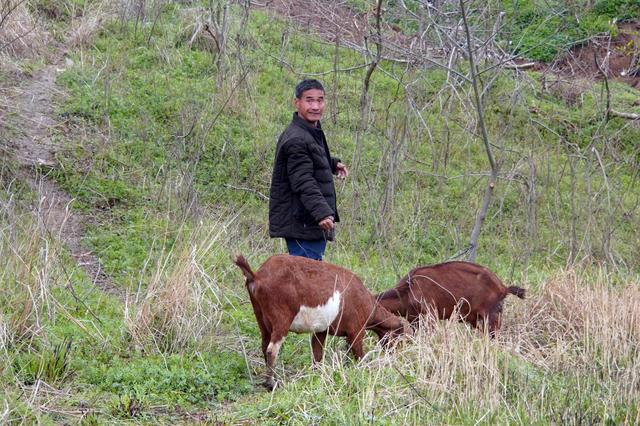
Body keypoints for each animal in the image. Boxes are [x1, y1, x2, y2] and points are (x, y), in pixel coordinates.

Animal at [234, 255, 404, 392]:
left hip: (260, 316)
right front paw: (364, 371)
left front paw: (318, 375)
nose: (399, 357)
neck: (367, 303)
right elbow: (359, 354)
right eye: (402, 338)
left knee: (264, 345)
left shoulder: (321, 331)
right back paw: (271, 383)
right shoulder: (356, 330)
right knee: (271, 349)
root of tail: (257, 276)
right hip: (281, 318)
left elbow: (317, 354)